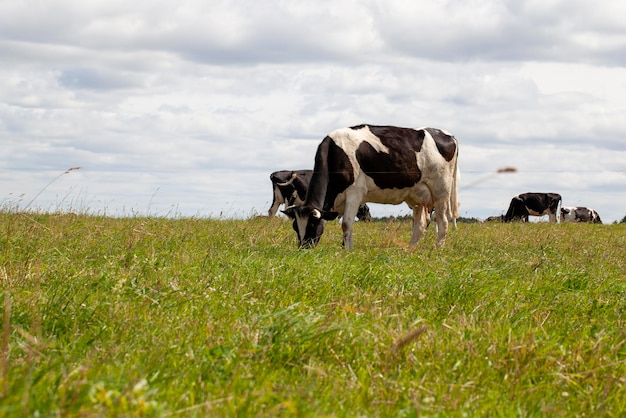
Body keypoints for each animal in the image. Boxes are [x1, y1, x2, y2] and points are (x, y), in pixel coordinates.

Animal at [280, 123, 456, 248]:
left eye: (312, 225)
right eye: (295, 227)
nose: (303, 249)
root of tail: (445, 134)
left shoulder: (355, 193)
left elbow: (346, 224)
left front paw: (348, 251)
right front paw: (345, 247)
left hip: (441, 189)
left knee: (443, 221)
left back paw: (437, 249)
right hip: (417, 195)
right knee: (420, 224)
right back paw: (410, 250)